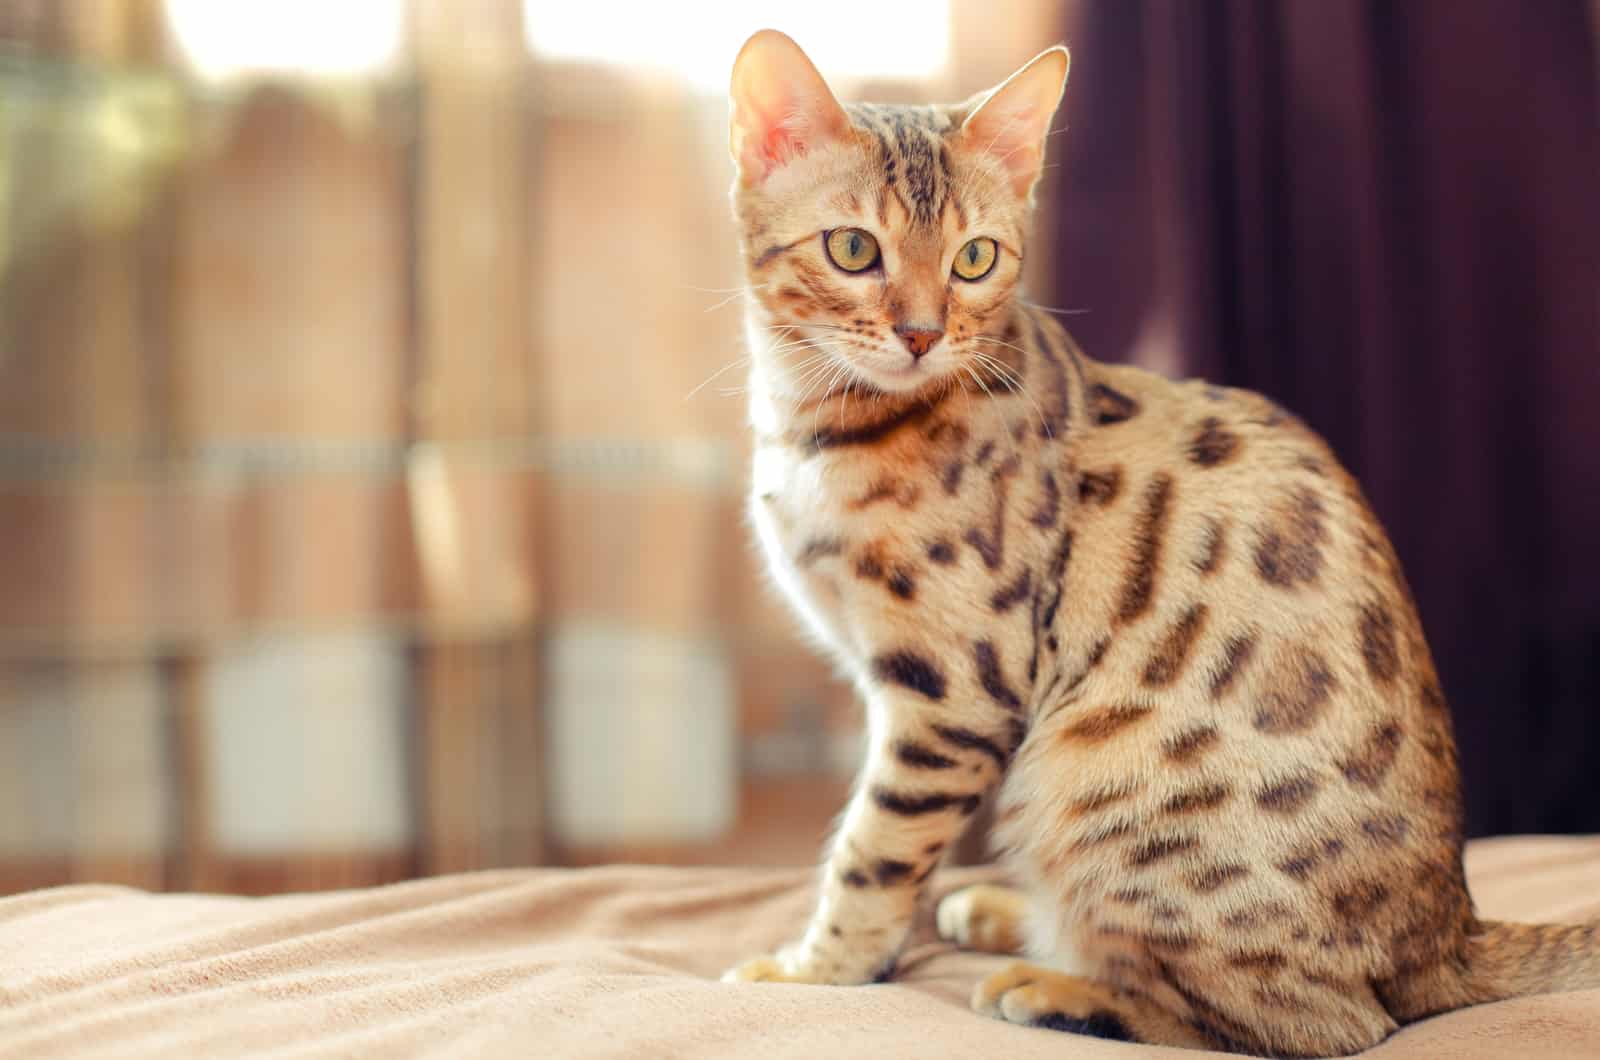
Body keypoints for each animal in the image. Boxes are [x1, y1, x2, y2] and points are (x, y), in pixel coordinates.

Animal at [716, 29, 1600, 1056]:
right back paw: (1010, 914)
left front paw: (816, 974)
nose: (923, 335)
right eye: (854, 248)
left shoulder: (954, 692)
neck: (814, 427)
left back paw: (1051, 984)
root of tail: (1452, 932)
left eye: (975, 259)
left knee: (1317, 1022)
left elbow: (874, 849)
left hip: (1095, 785)